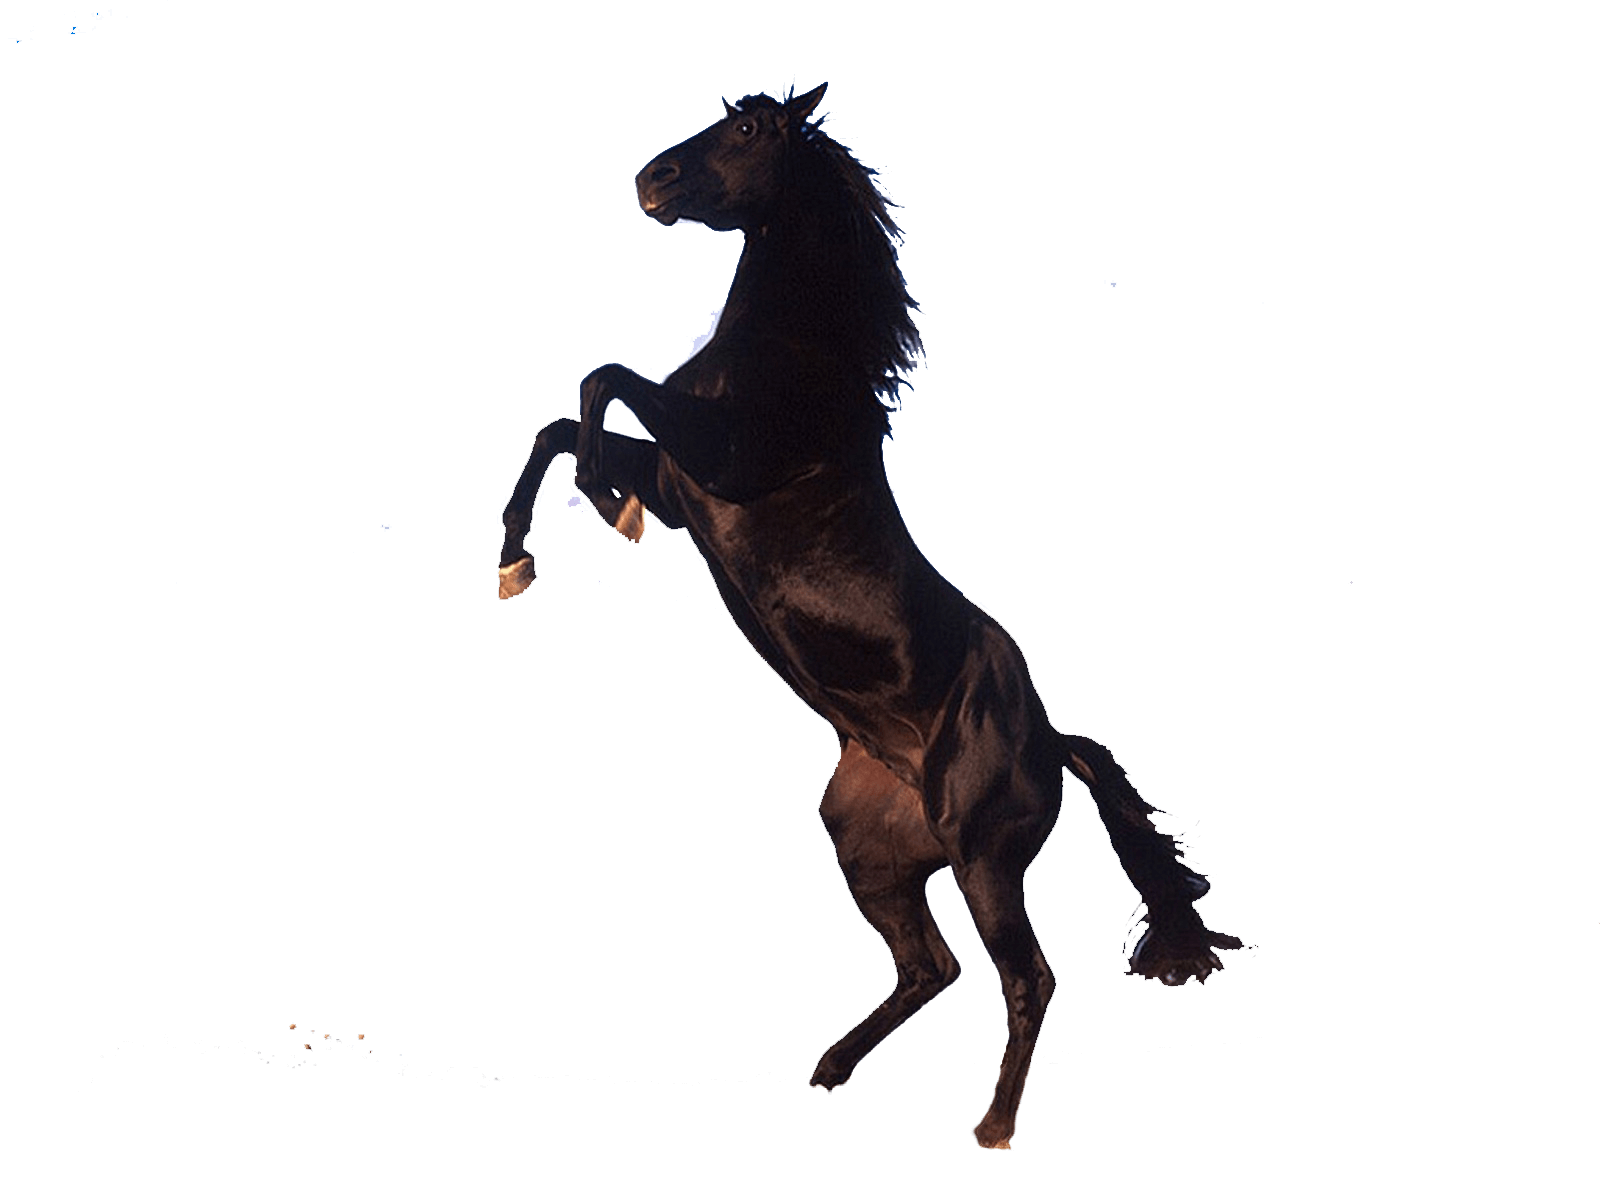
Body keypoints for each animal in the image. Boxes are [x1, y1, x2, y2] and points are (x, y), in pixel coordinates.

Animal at [496, 82, 1246, 1151]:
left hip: (982, 859)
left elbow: (606, 380)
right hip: (869, 848)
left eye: (749, 130)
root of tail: (1054, 743)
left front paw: (604, 508)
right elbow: (561, 420)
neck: (789, 361)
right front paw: (516, 564)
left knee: (1027, 977)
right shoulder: (686, 487)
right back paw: (829, 1070)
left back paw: (993, 1127)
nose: (649, 181)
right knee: (931, 968)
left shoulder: (713, 462)